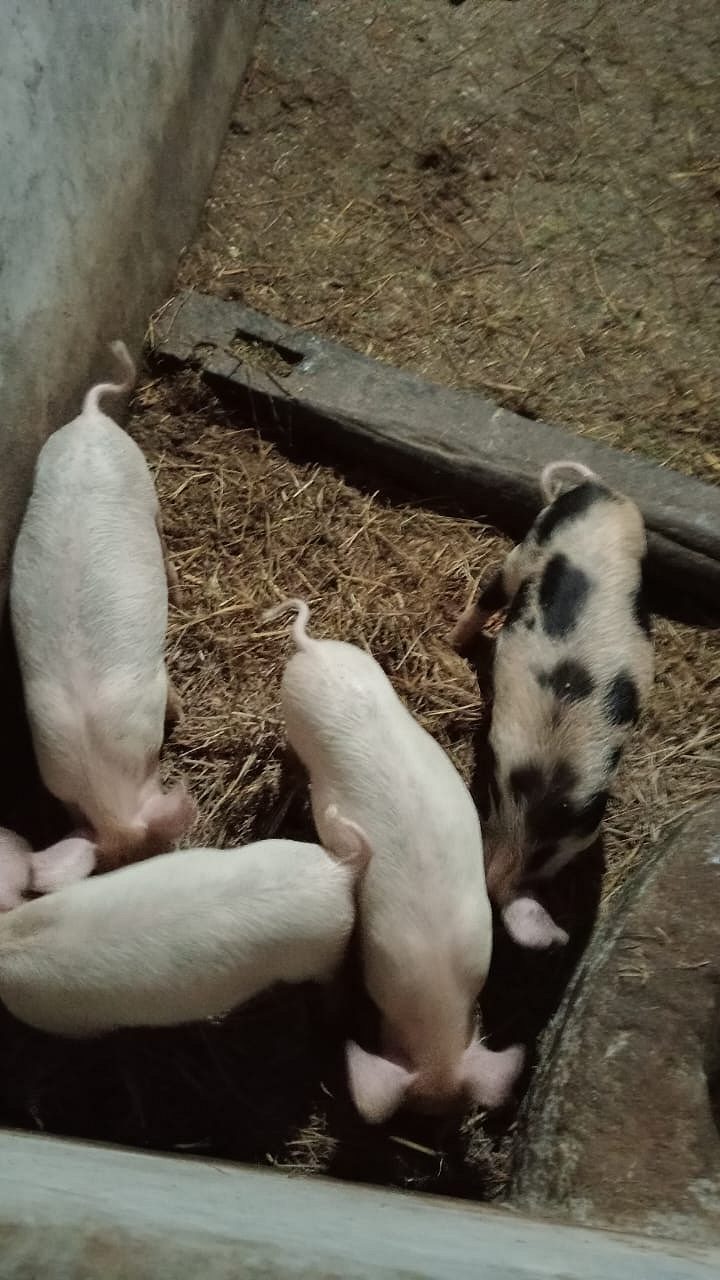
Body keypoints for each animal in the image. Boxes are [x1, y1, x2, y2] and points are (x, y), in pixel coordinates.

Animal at [9, 341, 195, 880]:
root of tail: (91, 417)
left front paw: (182, 716)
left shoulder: (152, 684)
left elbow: (169, 696)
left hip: (143, 481)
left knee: (160, 532)